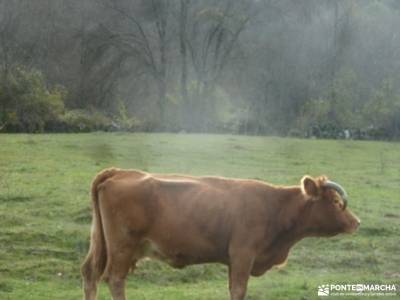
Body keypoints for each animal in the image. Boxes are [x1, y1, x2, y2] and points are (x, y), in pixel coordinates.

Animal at [80, 169, 360, 300]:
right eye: (335, 201)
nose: (356, 222)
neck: (275, 206)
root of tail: (120, 171)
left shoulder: (234, 259)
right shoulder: (243, 255)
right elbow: (238, 290)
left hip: (101, 244)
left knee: (90, 273)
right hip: (122, 248)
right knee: (115, 279)